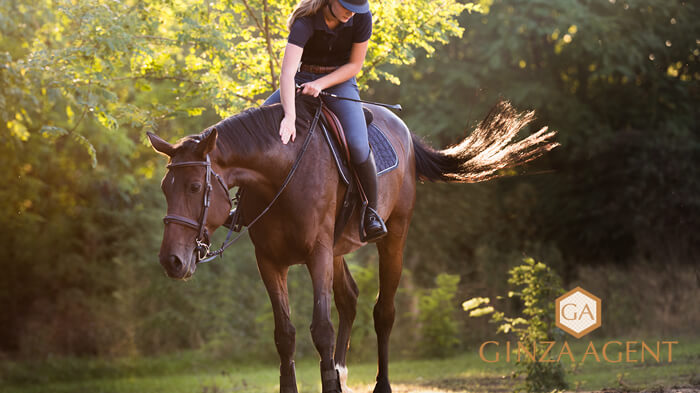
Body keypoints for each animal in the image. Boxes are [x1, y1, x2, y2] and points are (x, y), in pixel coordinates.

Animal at [148, 95, 556, 392]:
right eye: (166, 188)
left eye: (195, 187)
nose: (171, 261)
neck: (280, 174)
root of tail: (403, 130)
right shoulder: (270, 262)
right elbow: (285, 335)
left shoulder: (317, 255)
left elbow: (321, 330)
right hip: (338, 250)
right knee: (349, 299)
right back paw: (342, 372)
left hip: (393, 237)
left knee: (383, 312)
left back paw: (380, 384)